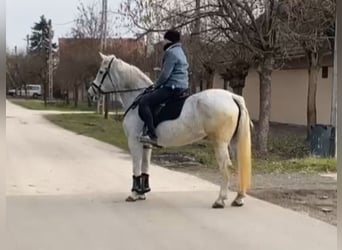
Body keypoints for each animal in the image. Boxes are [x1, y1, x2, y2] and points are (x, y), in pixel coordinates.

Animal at [87, 53, 254, 209]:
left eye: (101, 72)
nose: (90, 92)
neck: (137, 99)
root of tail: (232, 96)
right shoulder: (146, 144)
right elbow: (145, 166)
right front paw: (142, 192)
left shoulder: (134, 142)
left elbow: (136, 166)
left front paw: (134, 194)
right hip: (233, 142)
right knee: (239, 166)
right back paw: (238, 198)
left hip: (220, 143)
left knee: (225, 167)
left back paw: (220, 200)